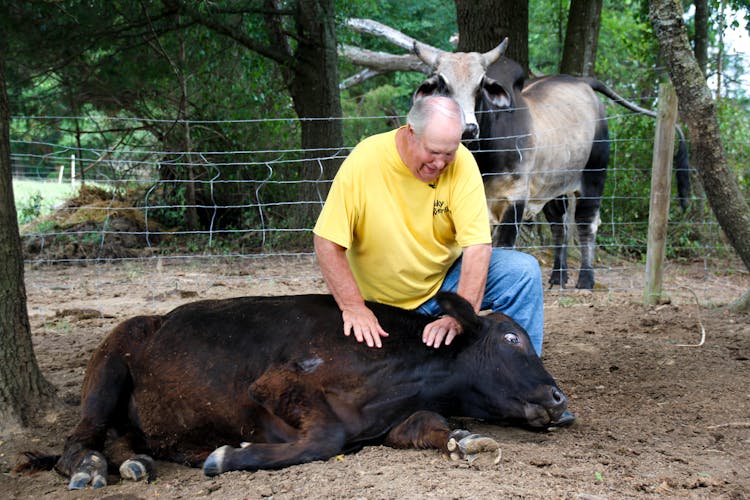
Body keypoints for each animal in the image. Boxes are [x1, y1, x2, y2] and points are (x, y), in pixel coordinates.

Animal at [17, 292, 568, 490]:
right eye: (513, 338)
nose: (561, 400)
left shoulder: (398, 420)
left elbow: (431, 425)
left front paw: (464, 439)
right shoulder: (276, 385)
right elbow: (323, 439)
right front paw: (228, 456)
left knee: (123, 439)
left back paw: (134, 463)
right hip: (108, 368)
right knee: (79, 439)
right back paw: (90, 468)